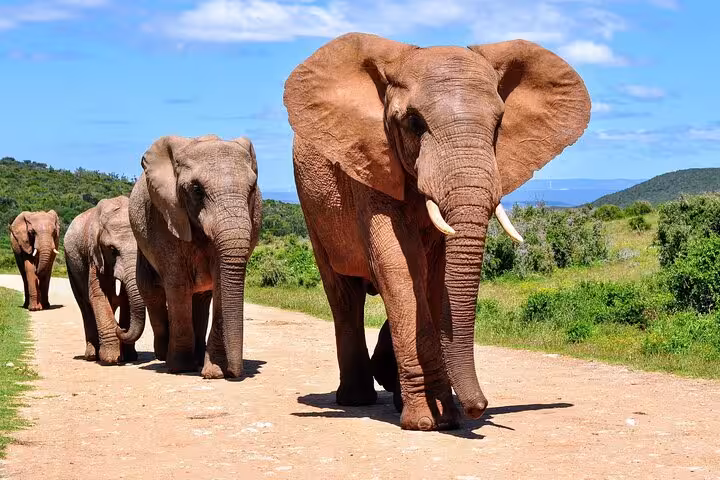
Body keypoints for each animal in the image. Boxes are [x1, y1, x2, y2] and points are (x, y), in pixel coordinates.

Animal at [64, 196, 145, 364]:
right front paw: (110, 359)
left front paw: (129, 357)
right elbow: (98, 295)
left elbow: (127, 298)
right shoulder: (94, 252)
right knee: (84, 305)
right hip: (70, 263)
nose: (121, 328)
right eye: (113, 250)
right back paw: (91, 355)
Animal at [126, 134, 261, 378]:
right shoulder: (164, 215)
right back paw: (165, 356)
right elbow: (178, 283)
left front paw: (215, 371)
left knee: (201, 297)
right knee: (151, 291)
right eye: (197, 190)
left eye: (252, 188)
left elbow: (220, 282)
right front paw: (180, 367)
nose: (236, 373)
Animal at [284, 33, 590, 430]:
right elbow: (400, 267)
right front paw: (427, 422)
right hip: (312, 206)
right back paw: (356, 399)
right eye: (414, 123)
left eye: (498, 125)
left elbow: (434, 275)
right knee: (344, 295)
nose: (479, 407)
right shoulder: (370, 162)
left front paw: (445, 415)